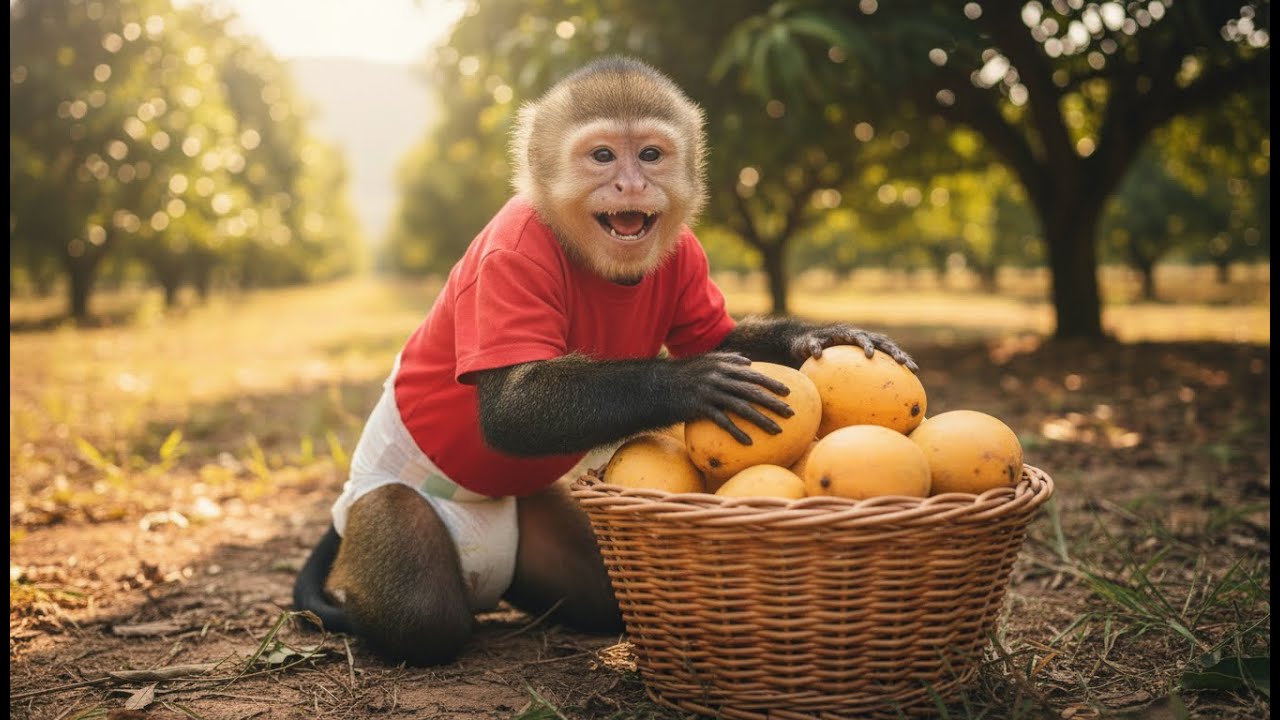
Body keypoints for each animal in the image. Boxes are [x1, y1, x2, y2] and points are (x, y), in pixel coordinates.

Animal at [293, 56, 918, 667]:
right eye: (602, 156)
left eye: (650, 155)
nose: (631, 182)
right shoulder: (507, 257)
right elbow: (511, 408)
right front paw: (689, 383)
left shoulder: (685, 252)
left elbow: (717, 333)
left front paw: (816, 336)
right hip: (382, 504)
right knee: (424, 612)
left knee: (595, 591)